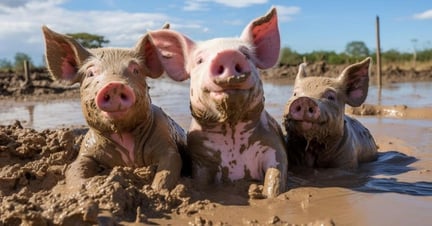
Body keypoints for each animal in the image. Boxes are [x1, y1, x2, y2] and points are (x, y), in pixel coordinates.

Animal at [41, 25, 187, 192]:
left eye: (136, 70)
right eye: (90, 73)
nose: (114, 85)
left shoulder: (165, 138)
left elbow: (170, 163)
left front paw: (155, 191)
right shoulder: (87, 148)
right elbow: (75, 167)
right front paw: (87, 188)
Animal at [148, 7, 286, 198]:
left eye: (246, 55)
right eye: (199, 60)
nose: (228, 54)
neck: (231, 130)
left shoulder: (273, 145)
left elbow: (276, 173)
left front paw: (266, 195)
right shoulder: (200, 158)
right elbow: (201, 181)